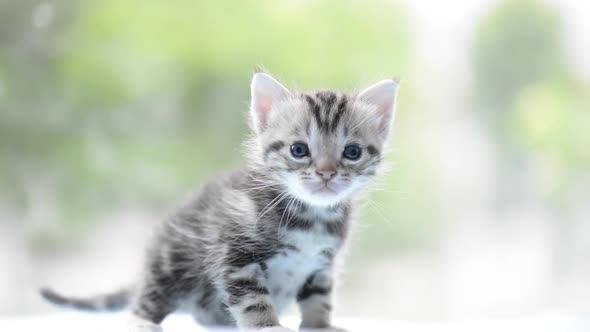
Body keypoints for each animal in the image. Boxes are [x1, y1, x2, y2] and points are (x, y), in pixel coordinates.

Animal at [41, 72, 402, 332]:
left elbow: (320, 299)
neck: (310, 217)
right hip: (171, 260)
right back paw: (142, 322)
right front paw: (268, 327)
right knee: (149, 298)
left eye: (352, 152)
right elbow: (254, 299)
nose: (326, 173)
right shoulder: (235, 255)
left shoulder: (321, 266)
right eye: (299, 150)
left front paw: (321, 326)